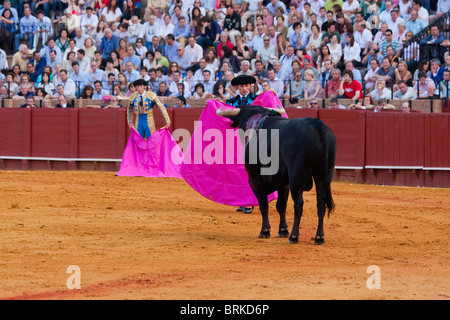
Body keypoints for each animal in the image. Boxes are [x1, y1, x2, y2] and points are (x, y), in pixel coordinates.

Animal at [216, 104, 336, 242]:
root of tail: (317, 124)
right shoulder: (283, 183)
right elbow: (281, 205)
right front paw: (283, 230)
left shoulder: (254, 178)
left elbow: (263, 204)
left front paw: (265, 231)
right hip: (323, 175)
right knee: (321, 203)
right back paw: (319, 237)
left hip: (296, 176)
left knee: (299, 203)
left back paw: (294, 236)